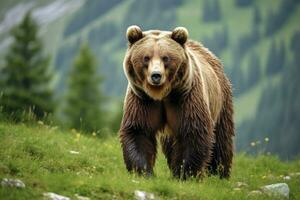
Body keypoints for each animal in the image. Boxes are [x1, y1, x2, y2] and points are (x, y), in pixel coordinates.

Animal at [119, 25, 234, 180]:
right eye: (146, 58)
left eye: (165, 58)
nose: (156, 75)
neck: (161, 95)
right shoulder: (143, 99)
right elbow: (138, 131)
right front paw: (144, 172)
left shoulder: (185, 98)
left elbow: (192, 132)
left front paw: (185, 174)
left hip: (220, 100)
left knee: (221, 140)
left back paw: (219, 173)